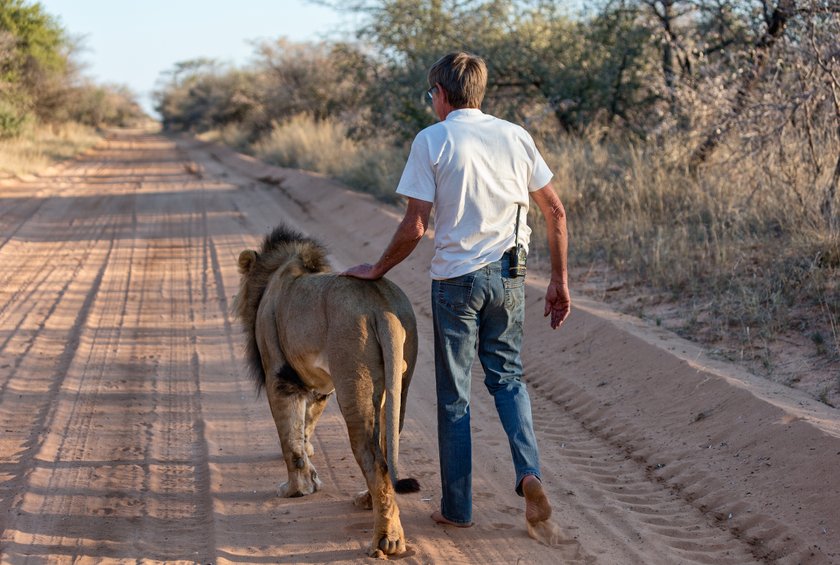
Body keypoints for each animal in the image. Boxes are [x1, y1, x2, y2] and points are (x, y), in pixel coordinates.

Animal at [233, 224, 420, 556]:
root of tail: (380, 307)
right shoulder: (320, 384)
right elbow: (305, 426)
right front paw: (311, 473)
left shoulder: (279, 378)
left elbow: (290, 441)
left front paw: (296, 489)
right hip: (398, 383)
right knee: (387, 451)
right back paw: (367, 501)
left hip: (354, 385)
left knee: (374, 460)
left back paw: (387, 539)